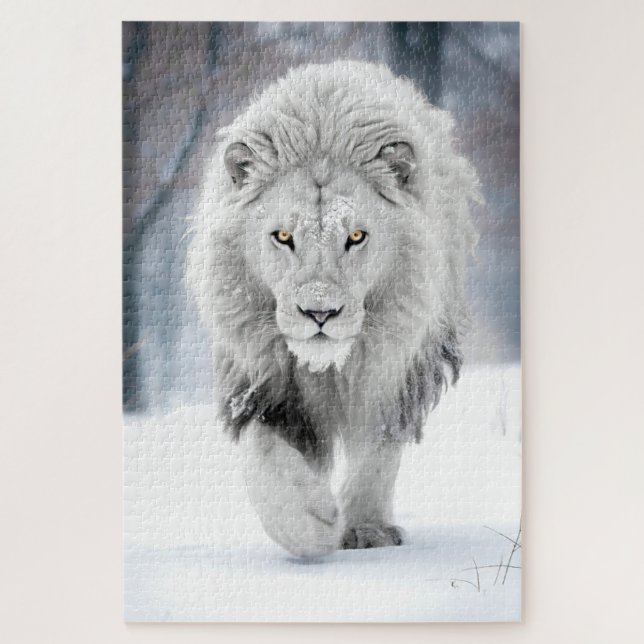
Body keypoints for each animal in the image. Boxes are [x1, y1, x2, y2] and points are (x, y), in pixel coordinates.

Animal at [187, 61, 479, 557]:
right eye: (283, 237)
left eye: (356, 236)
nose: (319, 313)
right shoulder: (261, 381)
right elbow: (264, 453)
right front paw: (310, 520)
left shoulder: (396, 371)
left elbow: (379, 451)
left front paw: (366, 530)